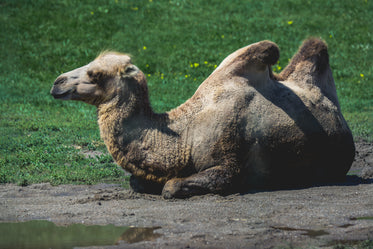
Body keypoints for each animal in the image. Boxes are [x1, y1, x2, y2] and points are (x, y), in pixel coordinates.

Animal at [50, 38, 354, 198]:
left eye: (96, 74)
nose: (57, 82)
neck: (185, 134)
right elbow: (137, 181)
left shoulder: (230, 164)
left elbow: (172, 186)